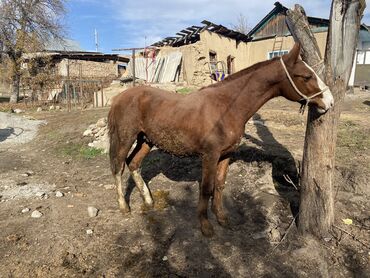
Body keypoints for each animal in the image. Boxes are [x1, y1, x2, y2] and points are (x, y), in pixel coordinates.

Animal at [108, 43, 334, 237]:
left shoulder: (226, 155)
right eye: (307, 76)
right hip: (125, 139)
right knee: (118, 167)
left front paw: (222, 218)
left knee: (133, 164)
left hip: (146, 140)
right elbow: (206, 188)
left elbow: (219, 185)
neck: (227, 106)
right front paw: (206, 226)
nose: (330, 102)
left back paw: (148, 201)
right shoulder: (210, 155)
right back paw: (123, 206)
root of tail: (119, 97)